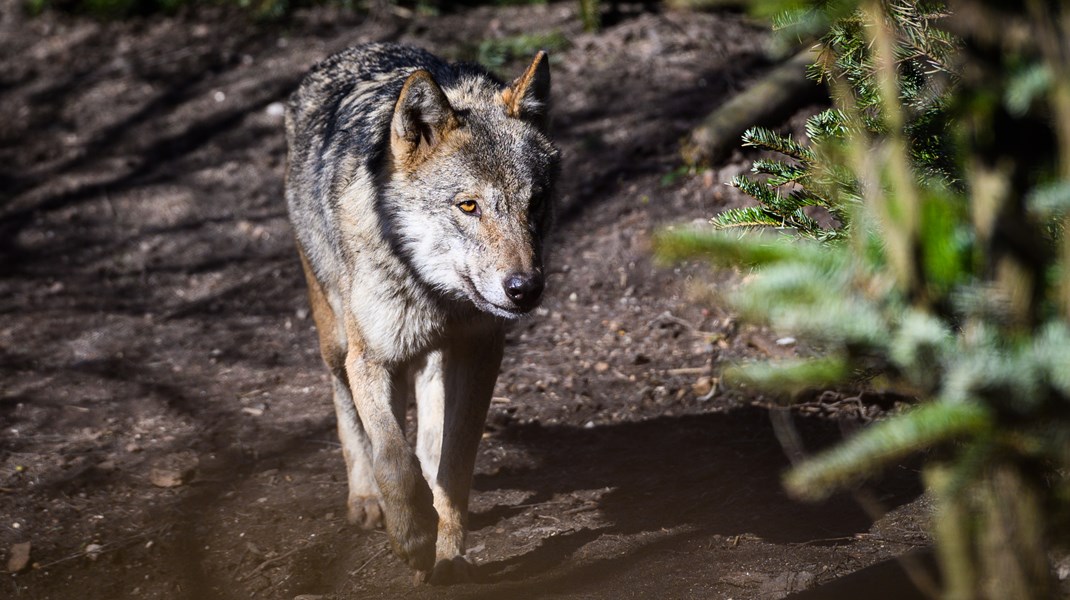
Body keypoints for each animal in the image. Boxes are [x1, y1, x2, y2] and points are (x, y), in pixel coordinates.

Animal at [282, 43, 560, 586]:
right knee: (350, 415)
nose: (524, 289)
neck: (434, 293)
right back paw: (366, 500)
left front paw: (448, 550)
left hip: (433, 360)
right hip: (337, 341)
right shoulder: (370, 359)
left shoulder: (480, 353)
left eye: (535, 202)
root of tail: (347, 53)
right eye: (468, 206)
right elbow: (393, 457)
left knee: (429, 440)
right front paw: (411, 537)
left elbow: (452, 464)